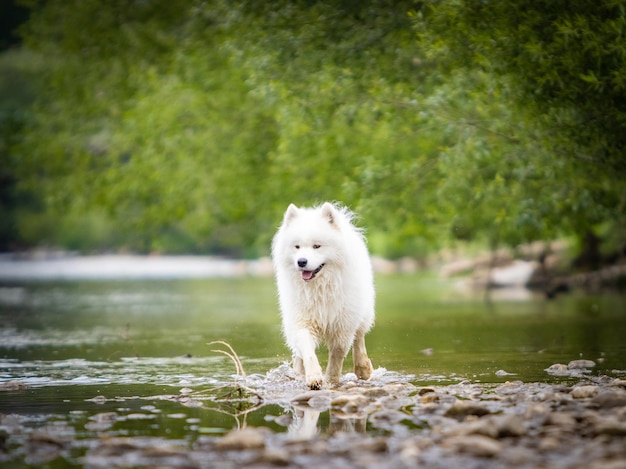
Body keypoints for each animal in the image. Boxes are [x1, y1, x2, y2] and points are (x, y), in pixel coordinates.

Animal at [270, 201, 372, 388]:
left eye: (317, 246)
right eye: (297, 246)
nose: (301, 261)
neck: (319, 287)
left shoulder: (343, 324)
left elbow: (337, 354)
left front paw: (331, 380)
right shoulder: (302, 321)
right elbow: (307, 350)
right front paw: (314, 377)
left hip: (363, 309)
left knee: (359, 337)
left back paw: (363, 368)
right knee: (298, 354)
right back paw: (298, 373)